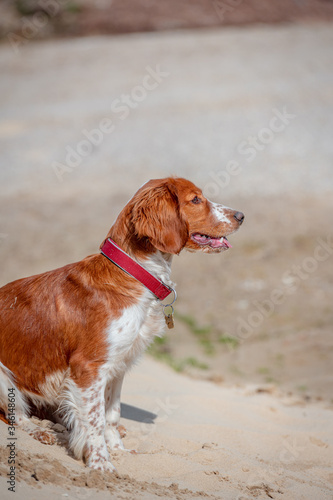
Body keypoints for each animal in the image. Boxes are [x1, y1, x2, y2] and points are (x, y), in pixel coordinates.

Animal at [0, 178, 243, 470]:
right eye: (196, 199)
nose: (241, 215)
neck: (133, 275)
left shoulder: (118, 366)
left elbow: (112, 415)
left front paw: (118, 450)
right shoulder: (88, 367)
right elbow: (94, 419)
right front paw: (100, 465)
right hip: (3, 378)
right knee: (15, 416)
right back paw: (40, 431)